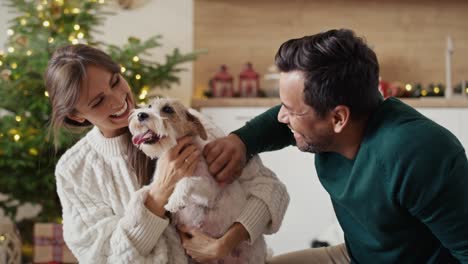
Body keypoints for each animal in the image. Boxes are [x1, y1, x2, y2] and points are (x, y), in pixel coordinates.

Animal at [128, 98, 266, 264]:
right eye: (149, 106)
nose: (141, 114)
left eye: (168, 109)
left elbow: (187, 180)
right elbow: (139, 192)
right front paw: (132, 214)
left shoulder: (209, 192)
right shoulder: (157, 185)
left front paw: (175, 200)